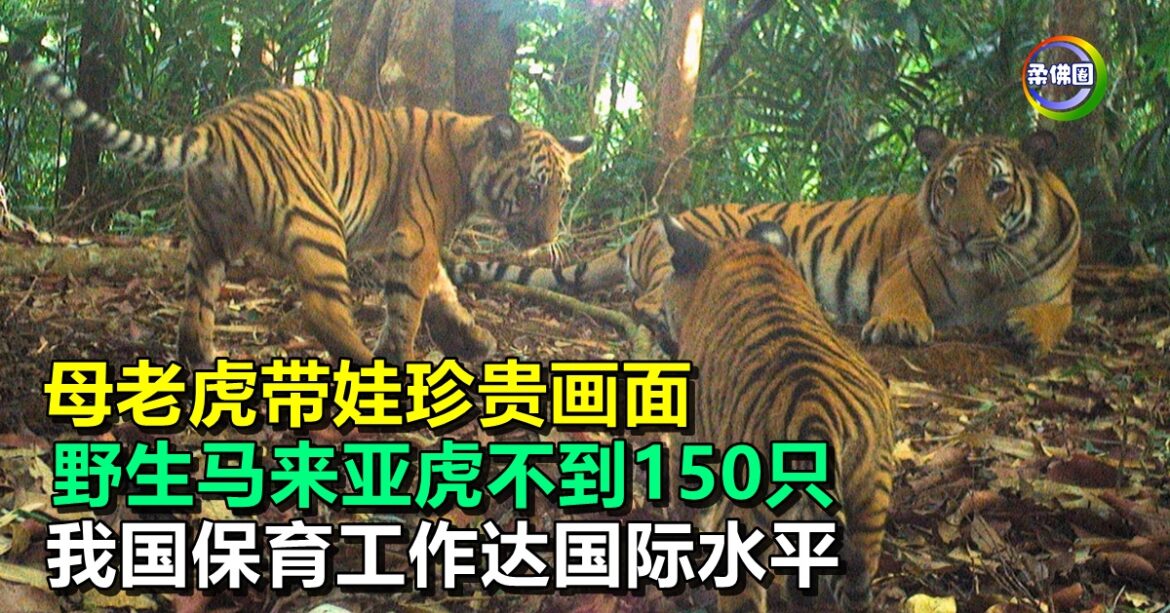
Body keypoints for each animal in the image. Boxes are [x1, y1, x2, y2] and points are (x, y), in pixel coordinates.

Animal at [11, 42, 591, 366]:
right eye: (533, 191)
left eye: (562, 193)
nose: (547, 237)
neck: (468, 159)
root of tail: (215, 127)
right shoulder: (415, 236)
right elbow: (409, 304)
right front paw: (399, 357)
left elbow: (443, 289)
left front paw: (473, 340)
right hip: (318, 219)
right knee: (322, 310)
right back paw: (364, 367)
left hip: (211, 234)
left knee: (197, 302)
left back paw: (201, 361)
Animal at [452, 127, 1081, 358]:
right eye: (949, 183)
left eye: (998, 186)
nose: (961, 232)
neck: (988, 272)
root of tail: (640, 231)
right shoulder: (905, 266)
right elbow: (902, 298)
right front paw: (902, 325)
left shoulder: (1058, 291)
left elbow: (1058, 316)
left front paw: (1029, 331)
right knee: (650, 299)